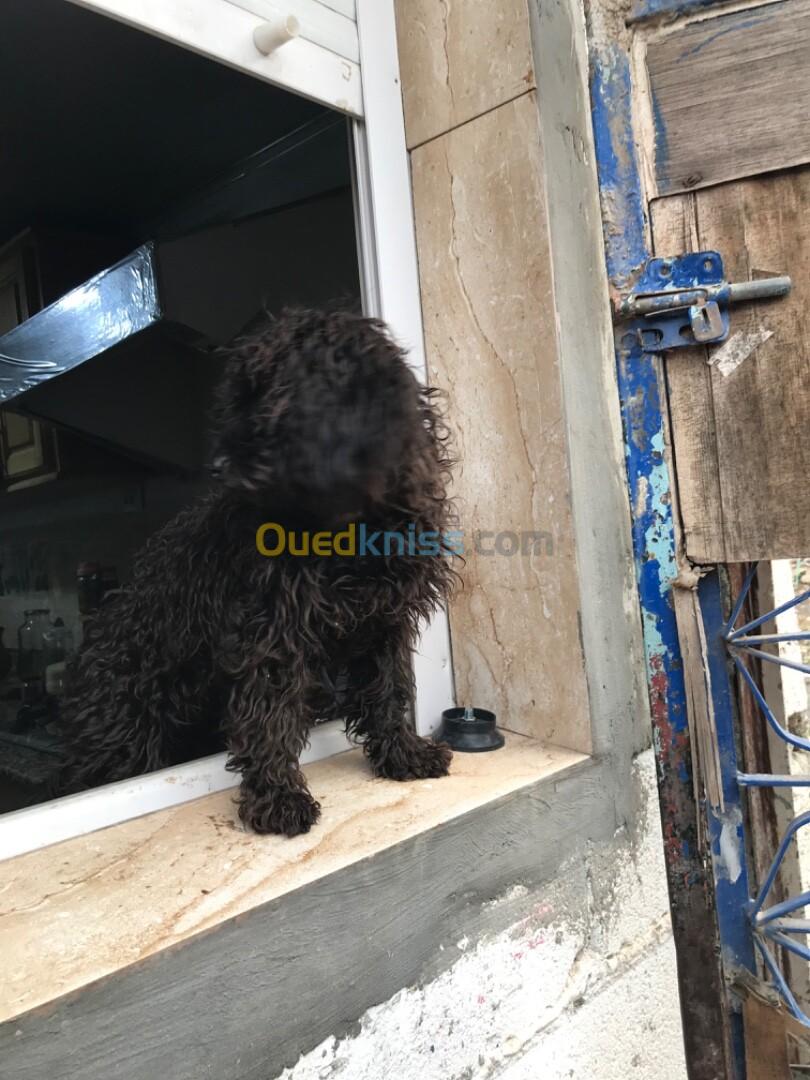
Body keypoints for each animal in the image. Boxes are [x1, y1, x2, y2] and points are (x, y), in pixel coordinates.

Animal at [58, 309, 456, 836]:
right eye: (238, 400)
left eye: (280, 404)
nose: (217, 468)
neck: (350, 529)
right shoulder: (271, 633)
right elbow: (271, 718)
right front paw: (278, 798)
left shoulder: (384, 621)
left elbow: (389, 690)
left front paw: (404, 754)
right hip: (124, 743)